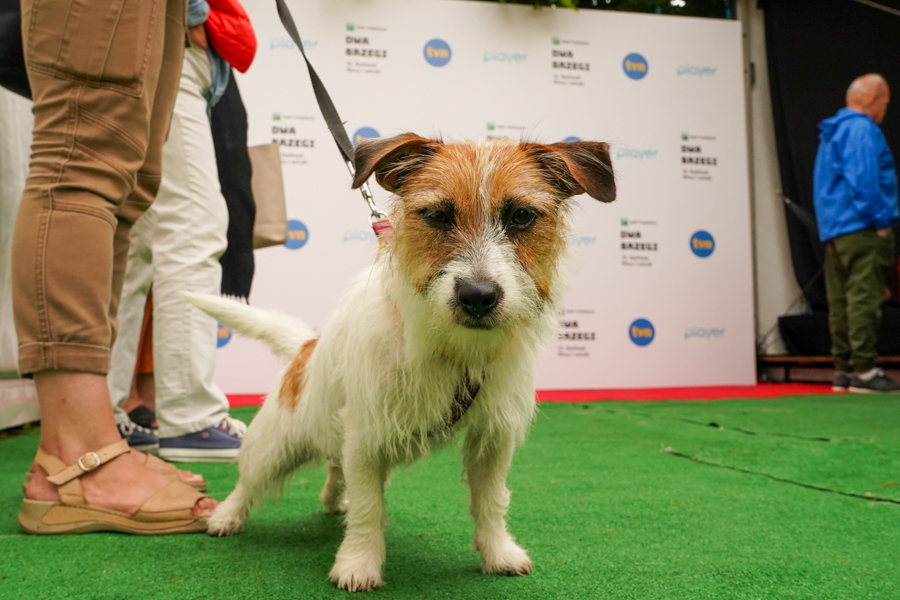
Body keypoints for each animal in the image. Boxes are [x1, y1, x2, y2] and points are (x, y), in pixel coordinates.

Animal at [185, 133, 615, 591]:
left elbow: (491, 500)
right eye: (437, 216)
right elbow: (368, 508)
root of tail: (307, 346)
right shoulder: (365, 437)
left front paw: (499, 553)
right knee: (249, 480)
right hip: (275, 444)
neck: (455, 349)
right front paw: (358, 563)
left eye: (520, 216)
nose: (478, 296)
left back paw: (332, 498)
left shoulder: (492, 438)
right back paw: (227, 516)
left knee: (335, 465)